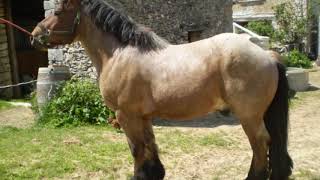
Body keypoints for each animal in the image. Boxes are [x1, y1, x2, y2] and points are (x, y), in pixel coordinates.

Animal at [31, 0, 294, 179]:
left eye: (57, 12)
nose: (34, 36)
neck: (118, 53)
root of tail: (266, 55)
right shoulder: (143, 116)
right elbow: (150, 145)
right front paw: (155, 173)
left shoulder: (125, 115)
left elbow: (136, 149)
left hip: (249, 116)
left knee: (260, 144)